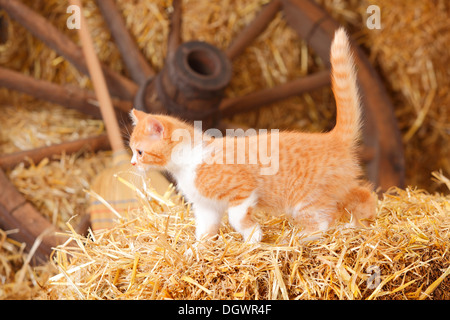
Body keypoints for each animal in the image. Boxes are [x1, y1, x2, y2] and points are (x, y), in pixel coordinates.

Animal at [129, 28, 376, 244]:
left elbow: (236, 218)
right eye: (132, 150)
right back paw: (361, 224)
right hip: (339, 190)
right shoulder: (207, 207)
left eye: (139, 152)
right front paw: (196, 251)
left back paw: (298, 239)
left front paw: (253, 237)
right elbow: (205, 231)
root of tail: (332, 137)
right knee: (365, 195)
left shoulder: (242, 190)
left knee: (323, 222)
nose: (132, 163)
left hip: (307, 199)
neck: (188, 160)